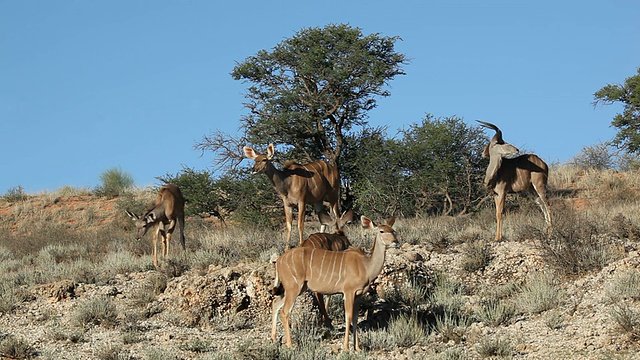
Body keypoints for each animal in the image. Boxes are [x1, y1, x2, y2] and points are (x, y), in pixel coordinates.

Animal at [268, 215, 398, 350]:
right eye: (381, 231)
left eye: (393, 231)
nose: (395, 242)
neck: (365, 265)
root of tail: (279, 261)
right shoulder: (348, 292)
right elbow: (348, 316)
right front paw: (346, 348)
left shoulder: (358, 295)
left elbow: (355, 318)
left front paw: (357, 348)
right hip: (293, 288)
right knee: (285, 311)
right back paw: (290, 344)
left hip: (295, 289)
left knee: (276, 303)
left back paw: (274, 338)